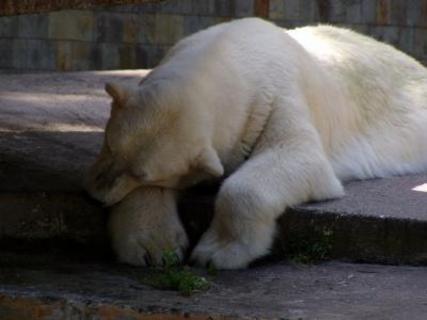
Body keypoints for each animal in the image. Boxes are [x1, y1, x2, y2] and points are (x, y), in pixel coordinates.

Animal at [87, 16, 427, 268]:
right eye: (110, 145)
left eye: (141, 174)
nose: (96, 194)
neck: (228, 53)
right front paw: (155, 248)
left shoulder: (276, 97)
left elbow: (297, 157)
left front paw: (216, 252)